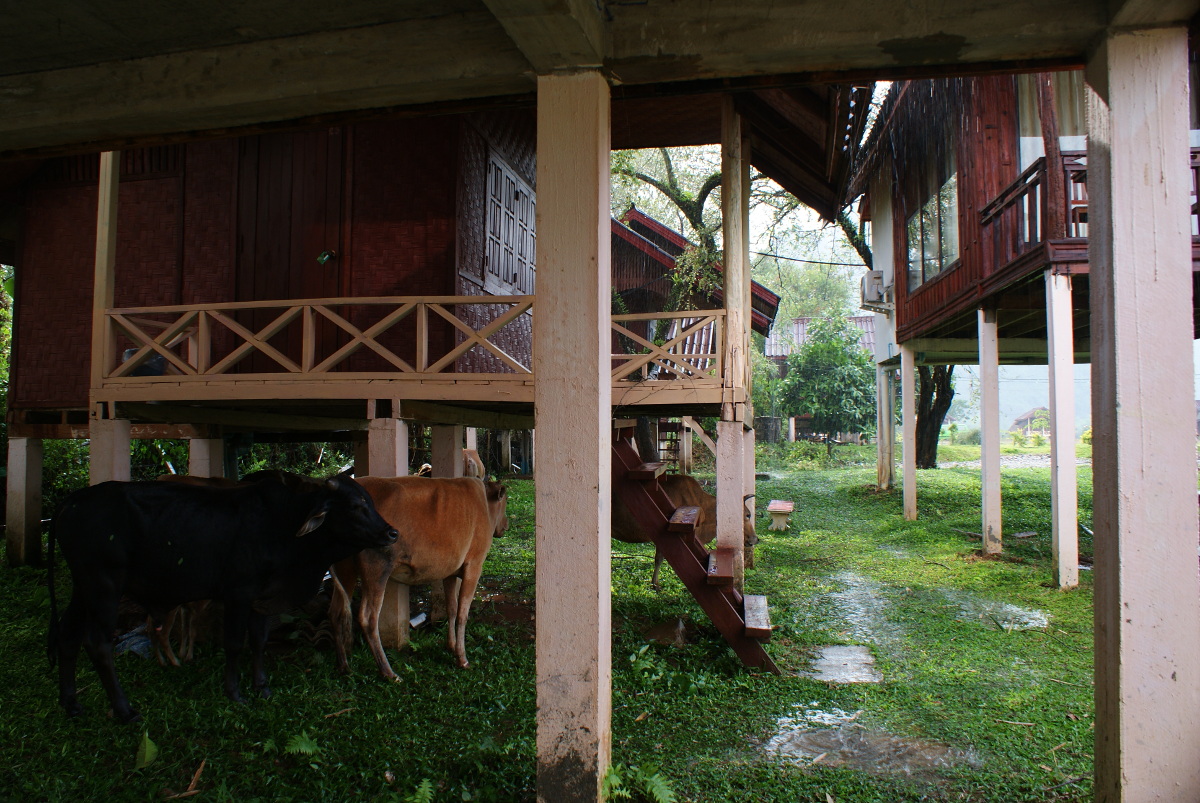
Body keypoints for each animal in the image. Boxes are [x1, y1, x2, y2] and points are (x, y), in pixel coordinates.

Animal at [48, 465, 393, 724]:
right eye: (356, 506)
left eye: (370, 501)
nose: (392, 533)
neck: (282, 524)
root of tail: (70, 501)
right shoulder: (238, 593)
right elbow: (235, 643)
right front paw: (235, 693)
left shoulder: (264, 598)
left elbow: (259, 642)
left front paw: (262, 687)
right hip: (104, 586)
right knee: (98, 643)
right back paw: (124, 710)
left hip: (84, 588)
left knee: (67, 633)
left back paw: (70, 702)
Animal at [326, 475, 508, 676]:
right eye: (505, 502)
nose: (506, 525)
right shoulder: (474, 565)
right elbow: (462, 613)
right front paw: (462, 658)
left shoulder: (450, 571)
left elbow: (451, 608)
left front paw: (451, 645)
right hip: (377, 568)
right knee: (368, 618)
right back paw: (388, 672)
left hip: (345, 568)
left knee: (336, 612)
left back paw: (343, 665)